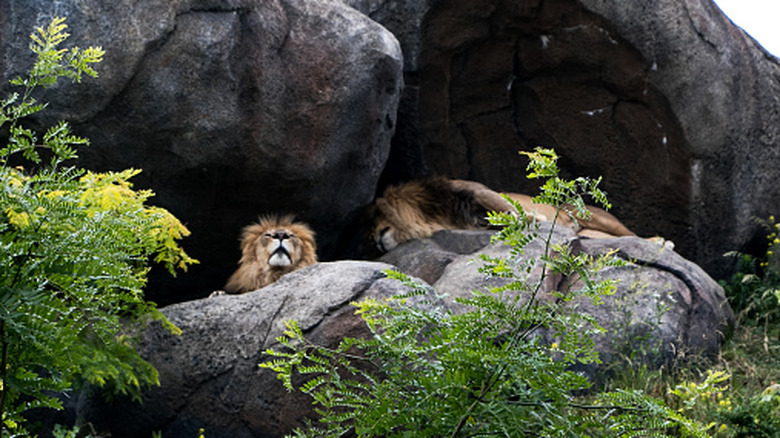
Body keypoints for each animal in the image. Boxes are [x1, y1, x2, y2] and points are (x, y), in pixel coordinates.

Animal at [369, 177, 635, 253]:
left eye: (376, 219)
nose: (374, 240)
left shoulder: (478, 191)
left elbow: (508, 210)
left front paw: (532, 218)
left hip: (595, 217)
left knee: (635, 235)